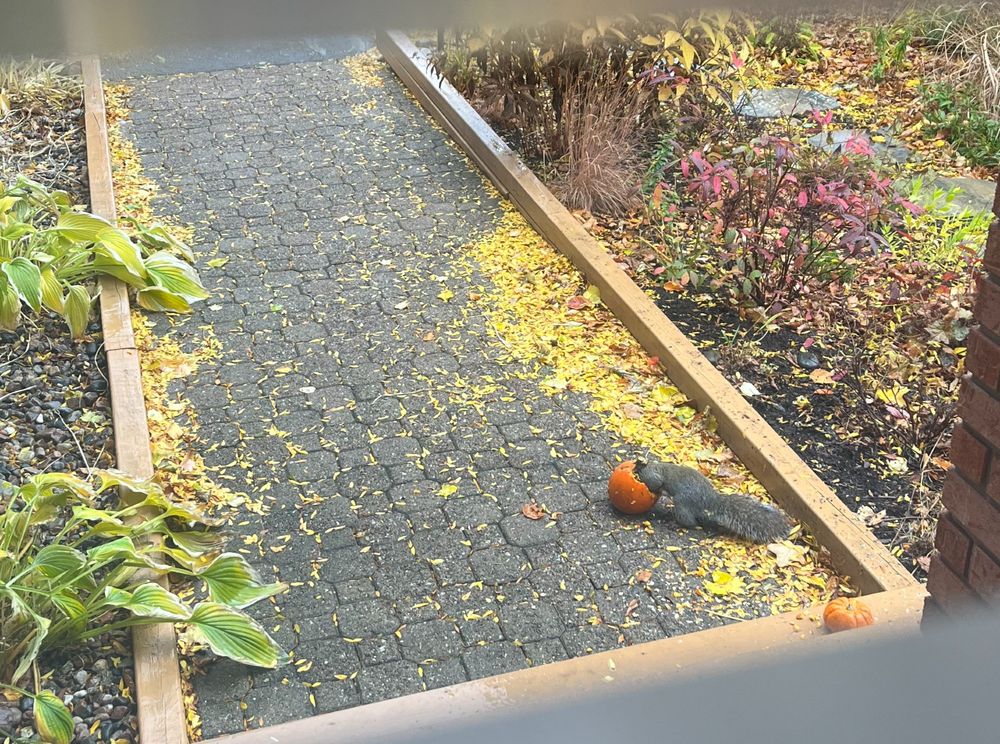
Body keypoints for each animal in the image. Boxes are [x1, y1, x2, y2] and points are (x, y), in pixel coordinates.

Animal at [633, 459, 790, 544]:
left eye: (637, 466)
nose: (635, 466)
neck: (652, 465)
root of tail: (710, 500)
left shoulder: (654, 476)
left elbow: (655, 484)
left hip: (682, 504)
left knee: (691, 522)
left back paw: (675, 524)